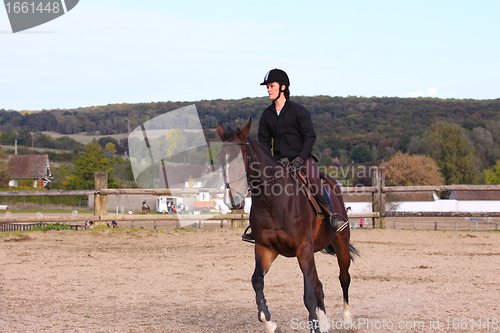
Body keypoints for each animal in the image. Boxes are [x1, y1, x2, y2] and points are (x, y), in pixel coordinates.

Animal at [217, 118, 358, 330]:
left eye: (241, 159)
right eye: (220, 159)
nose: (231, 199)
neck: (273, 201)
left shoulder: (303, 249)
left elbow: (308, 296)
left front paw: (314, 327)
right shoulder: (266, 249)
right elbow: (257, 281)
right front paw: (269, 323)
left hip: (340, 242)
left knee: (344, 278)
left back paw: (347, 319)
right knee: (319, 285)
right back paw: (325, 322)